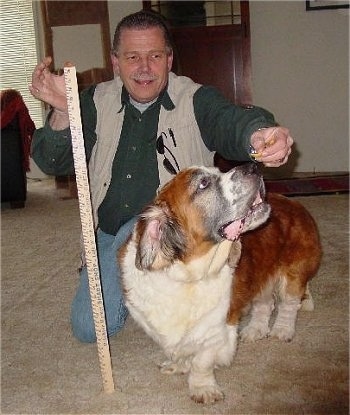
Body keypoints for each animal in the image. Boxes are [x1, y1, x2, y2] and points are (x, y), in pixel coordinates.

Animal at [119, 164, 322, 404]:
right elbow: (179, 349)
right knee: (265, 305)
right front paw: (178, 365)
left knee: (289, 305)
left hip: (293, 275)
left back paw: (282, 330)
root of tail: (295, 203)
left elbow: (201, 363)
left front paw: (203, 388)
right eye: (203, 183)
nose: (253, 166)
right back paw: (255, 330)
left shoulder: (214, 331)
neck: (189, 276)